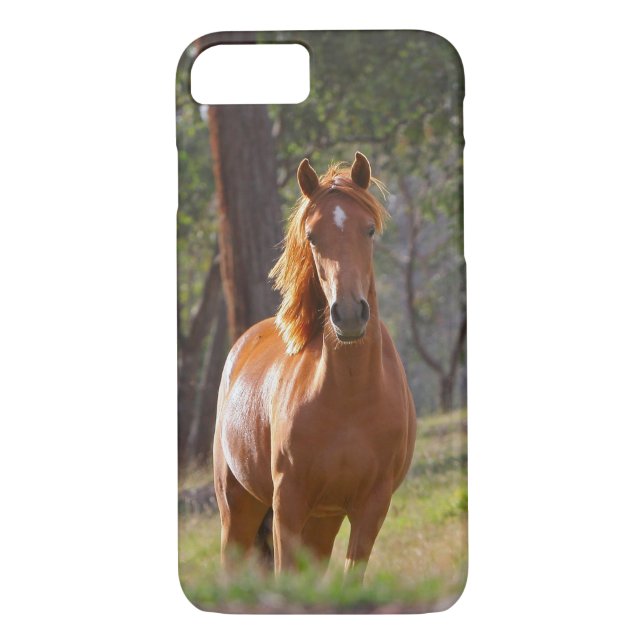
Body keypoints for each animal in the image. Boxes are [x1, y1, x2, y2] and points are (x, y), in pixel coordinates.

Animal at [213, 152, 416, 581]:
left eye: (369, 230)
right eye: (312, 236)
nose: (349, 314)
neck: (350, 397)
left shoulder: (371, 507)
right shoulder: (288, 503)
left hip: (323, 520)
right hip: (238, 509)